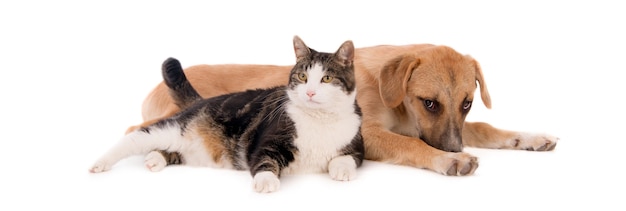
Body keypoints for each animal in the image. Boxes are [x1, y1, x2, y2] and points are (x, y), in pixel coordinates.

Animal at [87, 35, 360, 193]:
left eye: (326, 78)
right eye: (302, 76)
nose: (310, 92)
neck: (319, 120)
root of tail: (201, 101)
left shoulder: (356, 145)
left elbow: (348, 159)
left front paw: (342, 171)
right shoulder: (267, 142)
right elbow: (264, 160)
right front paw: (265, 181)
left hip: (188, 147)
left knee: (170, 150)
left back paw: (155, 159)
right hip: (174, 128)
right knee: (135, 136)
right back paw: (99, 163)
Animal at [129, 43, 560, 176]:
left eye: (467, 102)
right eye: (429, 103)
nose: (452, 149)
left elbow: (485, 128)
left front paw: (528, 138)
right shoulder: (368, 133)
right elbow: (413, 145)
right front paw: (448, 160)